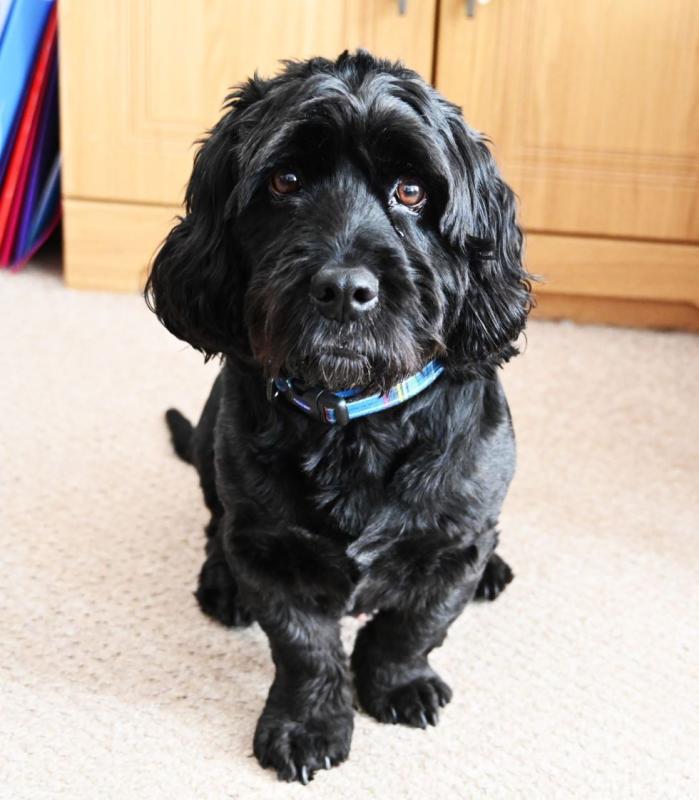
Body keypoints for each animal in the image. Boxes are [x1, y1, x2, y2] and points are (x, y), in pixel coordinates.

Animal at [146, 50, 531, 784]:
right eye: (285, 180)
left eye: (412, 191)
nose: (344, 289)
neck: (355, 420)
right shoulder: (270, 553)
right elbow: (304, 648)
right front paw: (306, 725)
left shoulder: (451, 547)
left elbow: (410, 628)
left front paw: (398, 685)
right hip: (212, 443)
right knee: (214, 523)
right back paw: (220, 582)